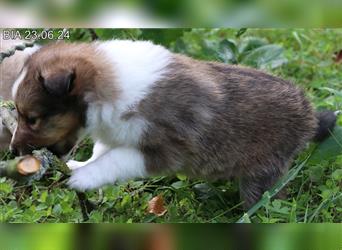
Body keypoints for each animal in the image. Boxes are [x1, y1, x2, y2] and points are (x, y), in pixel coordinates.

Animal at [10, 40, 336, 207]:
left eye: (32, 118)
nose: (13, 151)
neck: (109, 88)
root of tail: (308, 113)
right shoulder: (114, 131)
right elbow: (102, 149)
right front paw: (81, 165)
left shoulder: (167, 147)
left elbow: (117, 159)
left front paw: (84, 178)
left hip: (263, 172)